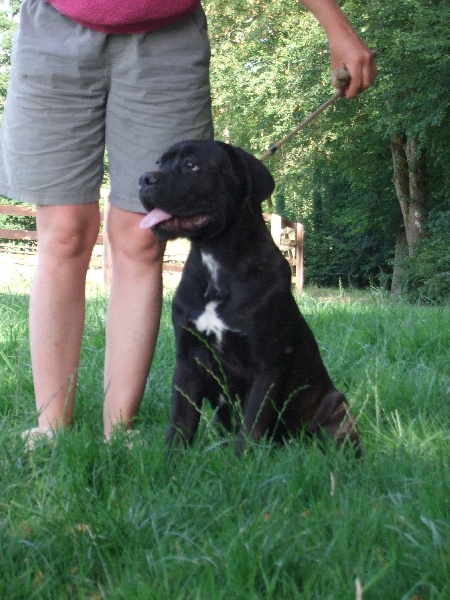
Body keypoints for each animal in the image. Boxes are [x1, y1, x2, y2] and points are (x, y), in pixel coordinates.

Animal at [139, 140, 360, 455]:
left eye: (191, 165)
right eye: (159, 163)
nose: (144, 178)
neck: (216, 260)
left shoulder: (265, 367)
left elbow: (250, 427)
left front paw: (238, 464)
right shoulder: (187, 362)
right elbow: (181, 420)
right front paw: (171, 460)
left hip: (337, 405)